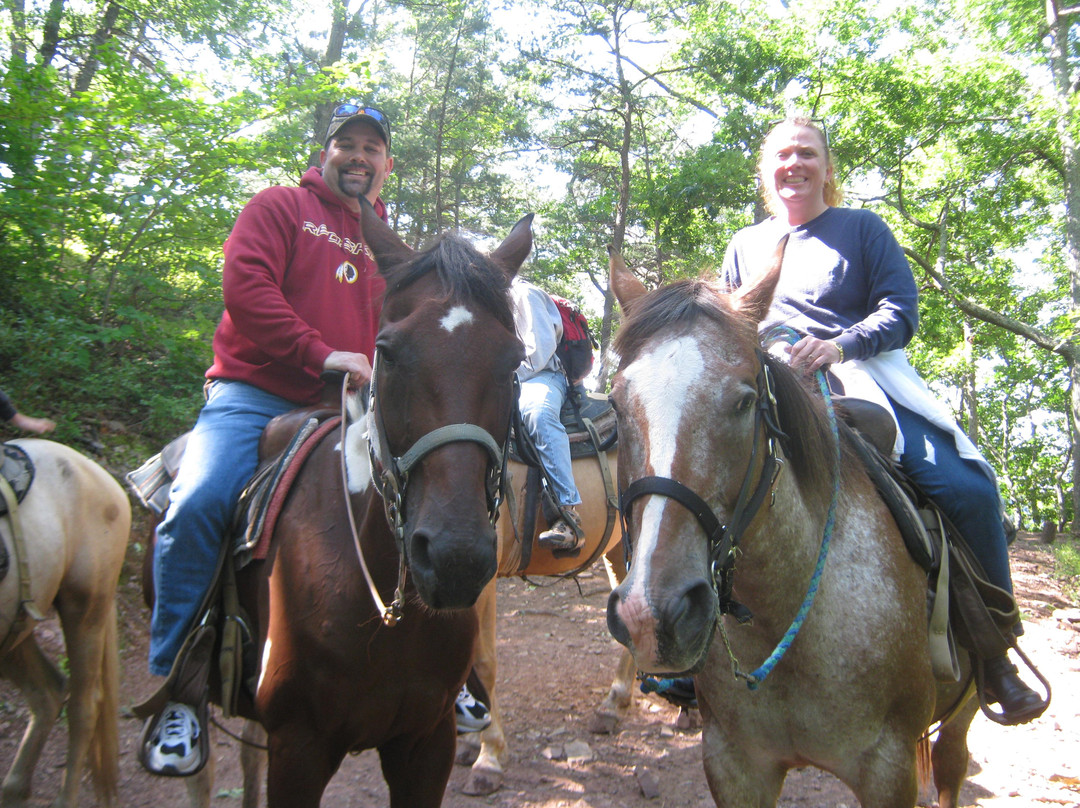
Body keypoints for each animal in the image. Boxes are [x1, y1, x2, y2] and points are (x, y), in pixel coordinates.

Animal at [609, 247, 980, 808]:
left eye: (745, 401)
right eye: (614, 405)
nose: (652, 614)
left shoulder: (889, 770)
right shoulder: (735, 764)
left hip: (964, 710)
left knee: (952, 766)